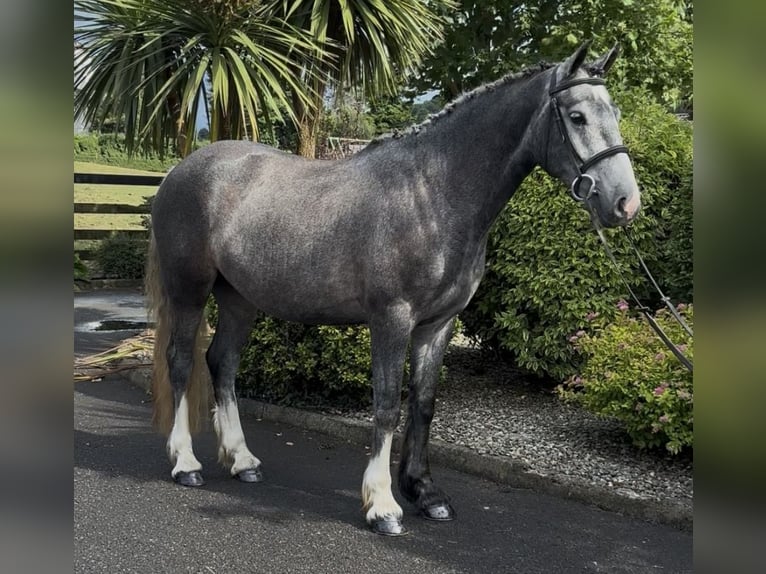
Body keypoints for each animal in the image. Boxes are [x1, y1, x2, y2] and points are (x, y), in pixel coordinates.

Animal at [145, 41, 640, 536]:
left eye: (615, 111)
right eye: (576, 116)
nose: (625, 202)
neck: (432, 194)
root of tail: (178, 172)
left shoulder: (438, 325)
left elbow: (423, 404)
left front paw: (426, 493)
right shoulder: (391, 319)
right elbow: (386, 405)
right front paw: (383, 504)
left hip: (239, 300)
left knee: (222, 363)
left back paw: (243, 461)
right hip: (189, 290)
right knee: (181, 361)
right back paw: (186, 463)